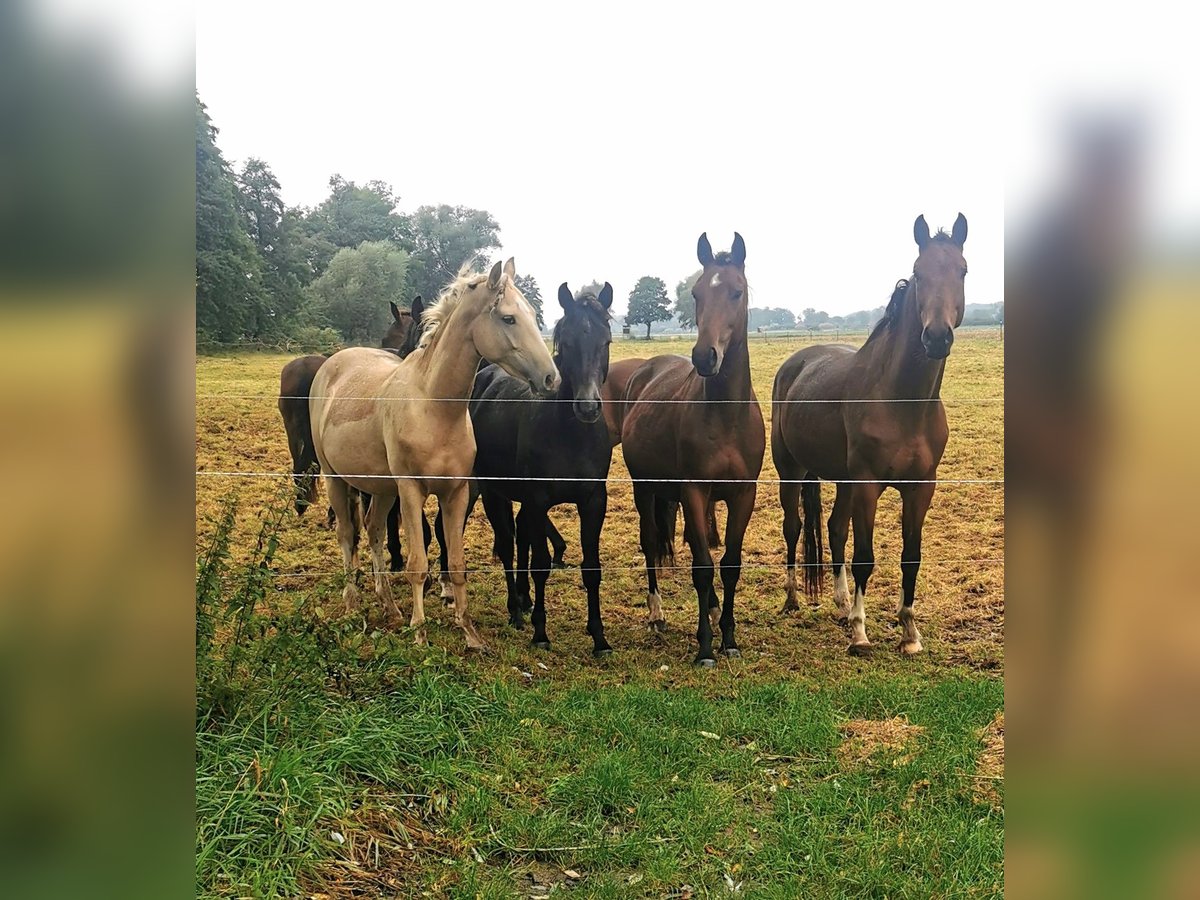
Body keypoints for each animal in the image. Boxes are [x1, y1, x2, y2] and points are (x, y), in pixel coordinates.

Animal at [468, 282, 619, 657]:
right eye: (566, 343)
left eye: (606, 342)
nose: (588, 407)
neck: (569, 434)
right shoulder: (537, 500)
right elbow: (540, 565)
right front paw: (540, 632)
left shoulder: (593, 501)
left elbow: (591, 568)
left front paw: (599, 637)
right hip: (493, 492)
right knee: (508, 543)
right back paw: (515, 610)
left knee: (520, 536)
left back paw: (522, 600)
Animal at [619, 234, 768, 672]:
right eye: (697, 293)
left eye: (737, 291)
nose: (705, 357)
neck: (725, 414)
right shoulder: (695, 490)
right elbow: (702, 567)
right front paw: (705, 648)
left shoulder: (742, 494)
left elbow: (730, 564)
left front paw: (729, 639)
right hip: (645, 489)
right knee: (651, 543)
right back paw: (656, 614)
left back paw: (716, 612)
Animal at [772, 214, 969, 657]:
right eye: (918, 272)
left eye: (962, 270)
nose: (936, 337)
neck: (902, 403)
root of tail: (796, 362)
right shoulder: (867, 484)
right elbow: (865, 556)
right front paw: (861, 635)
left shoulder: (920, 487)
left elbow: (910, 556)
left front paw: (909, 634)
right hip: (791, 471)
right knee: (794, 527)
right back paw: (792, 599)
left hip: (842, 481)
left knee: (833, 528)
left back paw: (842, 603)